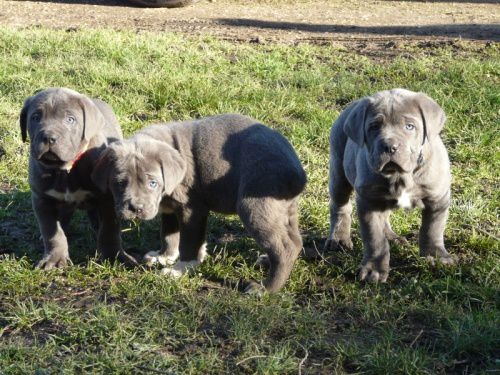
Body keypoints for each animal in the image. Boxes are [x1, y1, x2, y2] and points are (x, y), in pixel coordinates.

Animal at [20, 88, 124, 270]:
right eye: (35, 117)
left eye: (70, 119)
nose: (49, 137)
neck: (65, 170)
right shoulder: (42, 199)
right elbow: (52, 231)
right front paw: (54, 259)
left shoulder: (107, 199)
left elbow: (109, 230)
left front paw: (113, 257)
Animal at [92, 114, 306, 294]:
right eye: (120, 183)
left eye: (152, 183)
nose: (136, 209)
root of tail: (296, 171)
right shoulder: (171, 209)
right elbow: (169, 234)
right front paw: (165, 256)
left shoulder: (191, 209)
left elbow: (189, 241)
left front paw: (180, 269)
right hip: (283, 208)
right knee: (295, 241)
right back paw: (267, 261)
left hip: (255, 207)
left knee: (285, 248)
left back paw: (265, 288)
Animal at [326, 88, 456, 282]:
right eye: (374, 127)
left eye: (409, 126)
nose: (390, 147)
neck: (400, 175)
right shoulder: (368, 200)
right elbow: (375, 238)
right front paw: (374, 269)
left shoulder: (438, 198)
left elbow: (432, 229)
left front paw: (437, 257)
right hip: (338, 169)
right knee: (340, 206)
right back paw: (339, 238)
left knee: (384, 216)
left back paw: (393, 238)